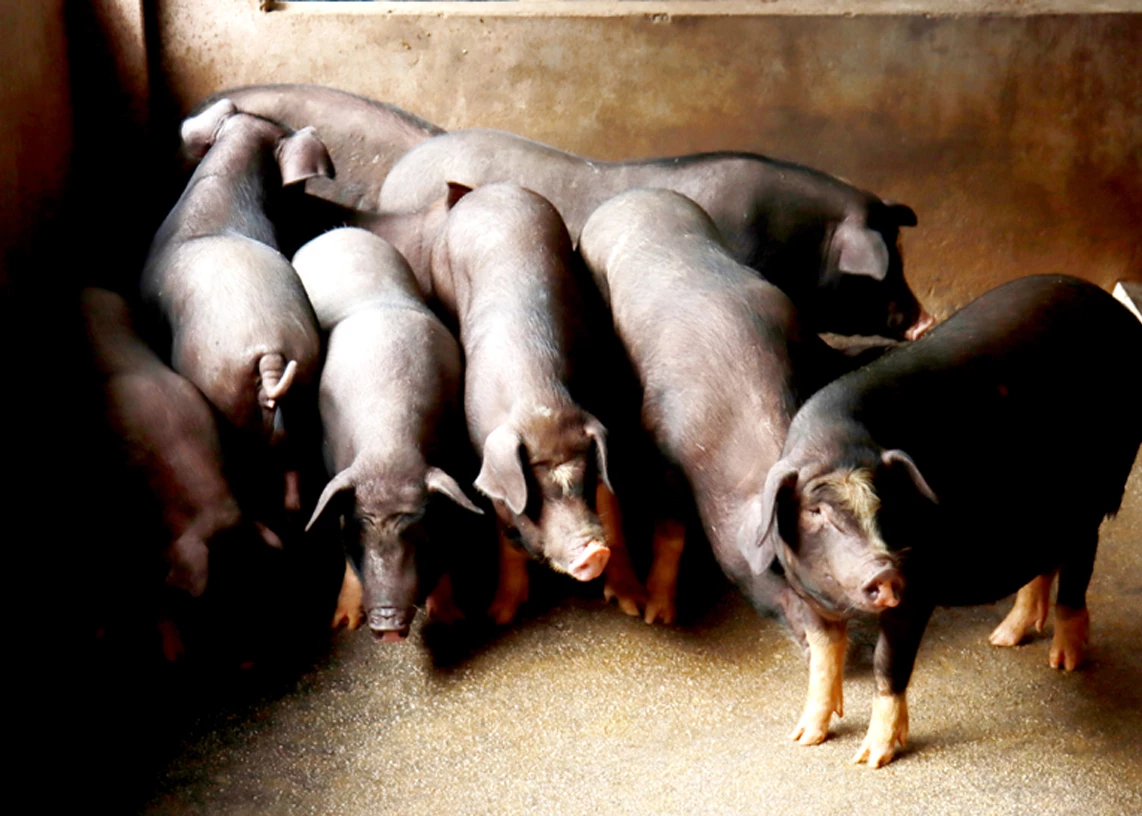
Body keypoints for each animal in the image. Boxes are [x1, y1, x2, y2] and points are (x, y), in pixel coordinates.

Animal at [292, 228, 483, 640]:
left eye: (416, 528)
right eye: (361, 527)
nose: (388, 625)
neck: (388, 451)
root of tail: (339, 231)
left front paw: (450, 621)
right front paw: (343, 624)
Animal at [428, 183, 617, 624]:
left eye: (586, 479)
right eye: (536, 494)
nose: (595, 552)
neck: (539, 405)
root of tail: (489, 191)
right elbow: (505, 534)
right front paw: (499, 615)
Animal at [579, 188, 837, 630]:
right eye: (776, 568)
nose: (832, 635)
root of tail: (627, 196)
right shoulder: (660, 443)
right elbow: (670, 529)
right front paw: (657, 616)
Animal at [741, 274, 1142, 767]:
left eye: (887, 502)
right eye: (815, 510)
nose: (884, 571)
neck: (836, 443)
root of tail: (1117, 314)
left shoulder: (918, 587)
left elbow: (888, 664)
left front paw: (872, 759)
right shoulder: (809, 595)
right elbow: (823, 658)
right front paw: (804, 738)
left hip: (1096, 492)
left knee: (1079, 567)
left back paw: (1064, 662)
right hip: (1039, 512)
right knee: (1043, 563)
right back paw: (1003, 638)